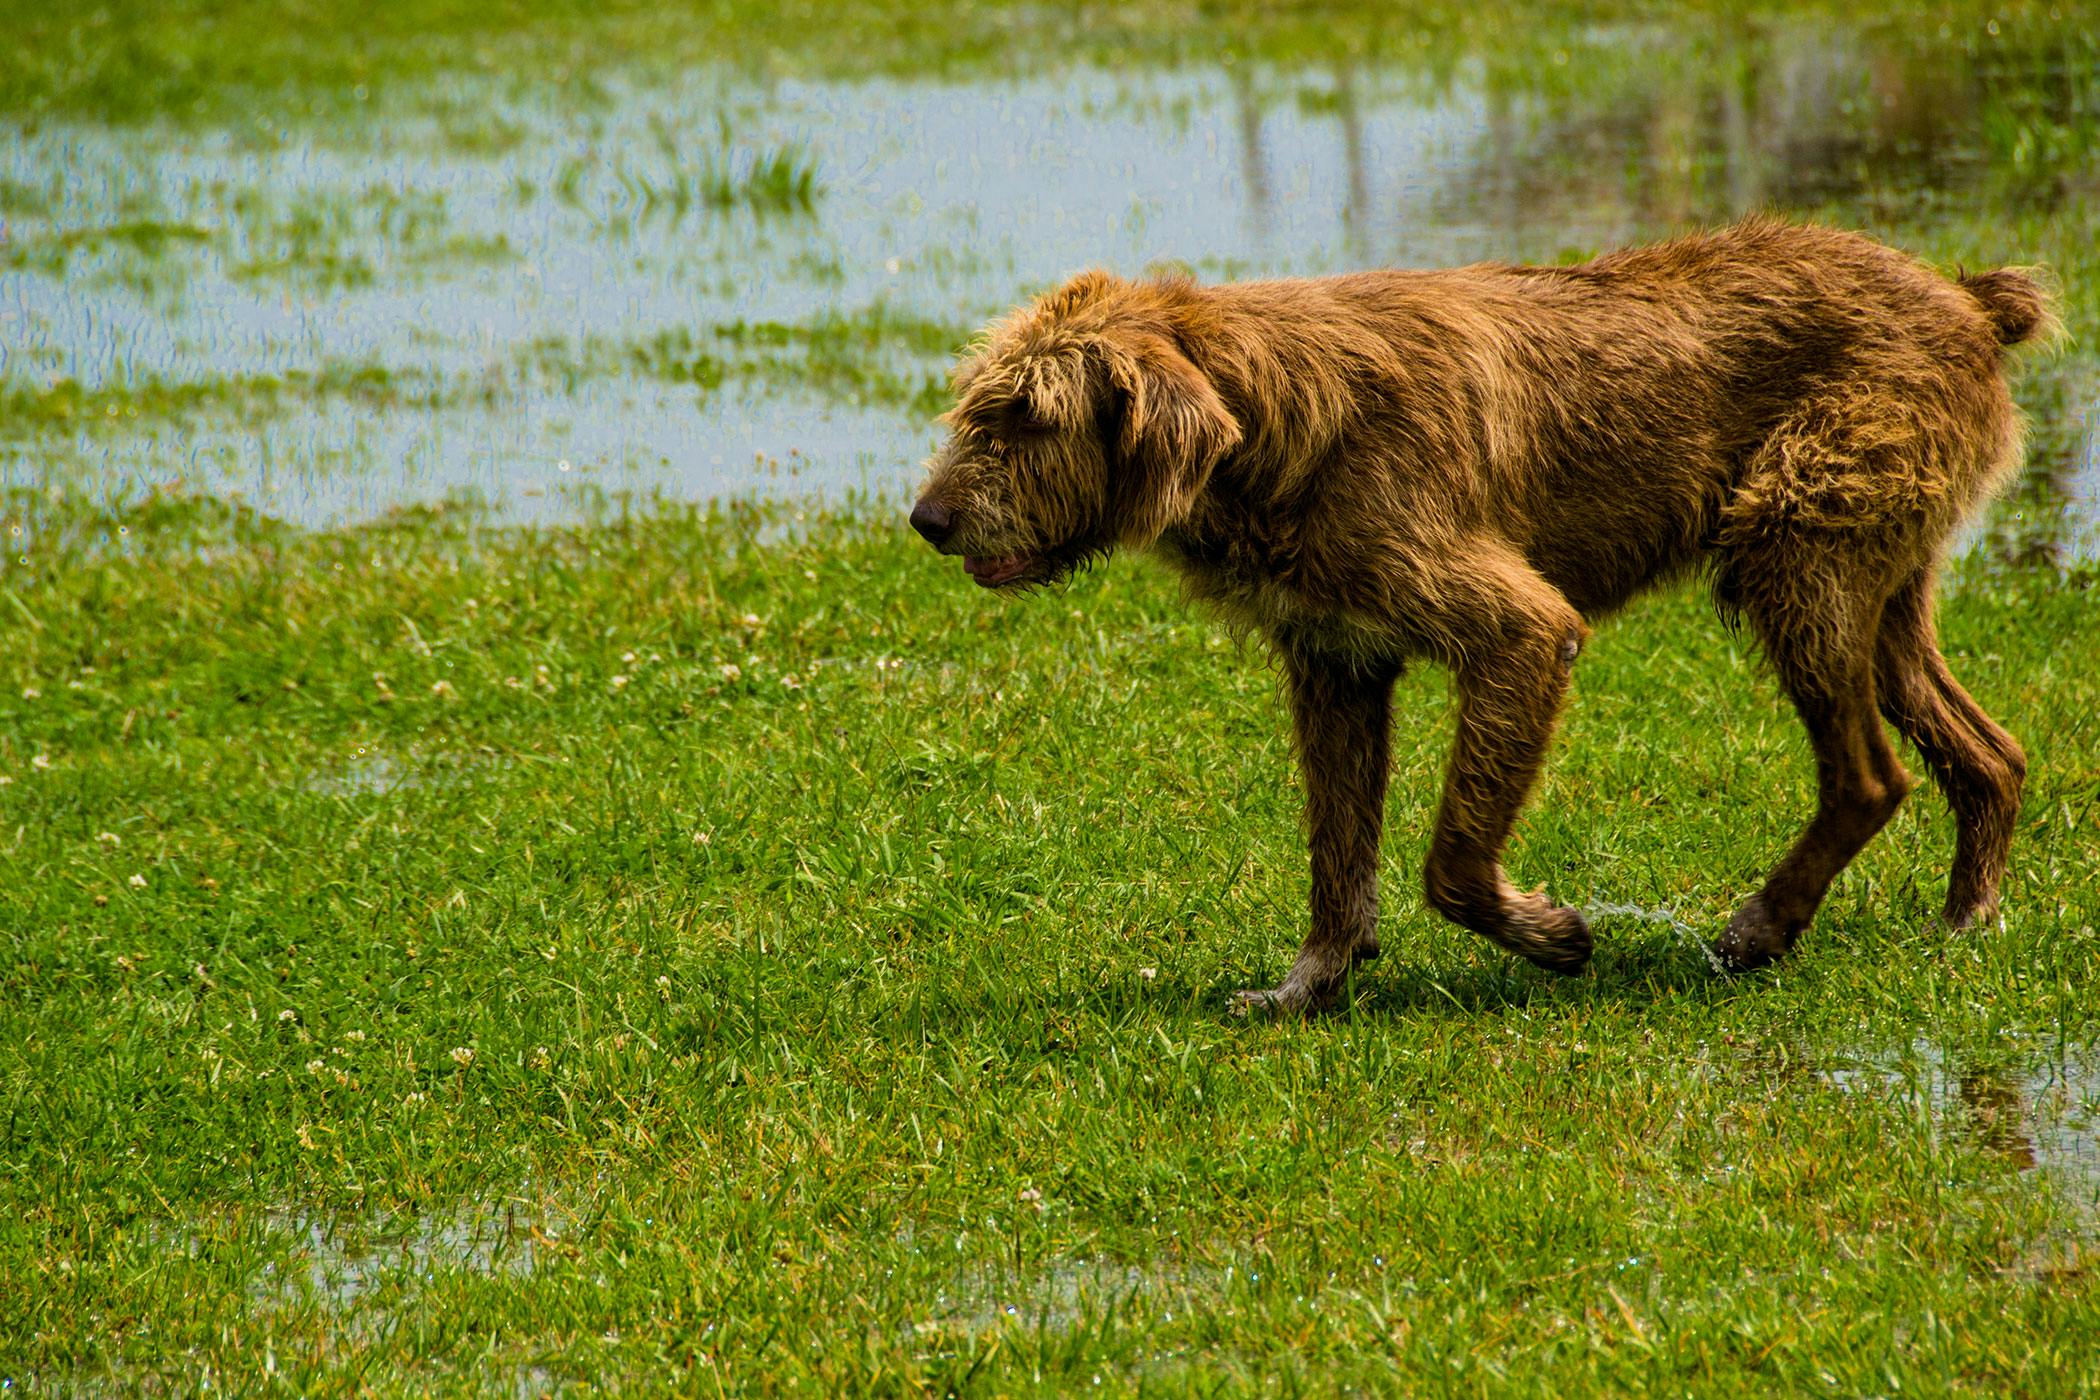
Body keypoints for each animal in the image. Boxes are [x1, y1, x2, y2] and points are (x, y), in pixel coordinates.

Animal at [907, 216, 2049, 1007]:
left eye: (1027, 416)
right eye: (979, 407)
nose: (927, 519)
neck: (1265, 422)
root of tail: (1966, 303)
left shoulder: (1519, 632)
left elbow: (1452, 861)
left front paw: (1550, 934)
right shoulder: (1337, 663)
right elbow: (1338, 857)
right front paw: (1311, 986)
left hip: (1794, 551)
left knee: (1869, 776)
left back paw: (1762, 926)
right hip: (1877, 590)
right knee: (1989, 754)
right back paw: (1966, 918)